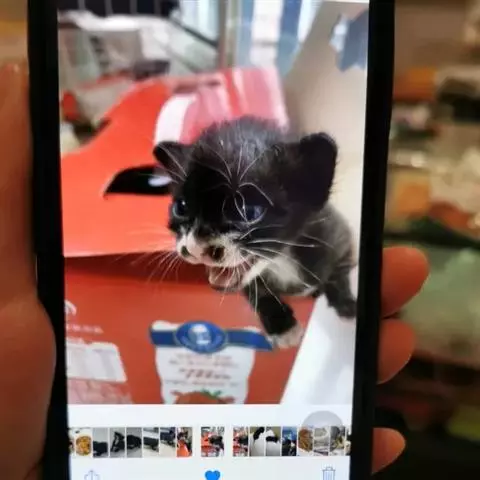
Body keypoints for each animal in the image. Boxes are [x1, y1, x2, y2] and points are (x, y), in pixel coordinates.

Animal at [153, 116, 357, 349]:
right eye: (182, 207)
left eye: (248, 211)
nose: (195, 248)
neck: (282, 261)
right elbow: (256, 290)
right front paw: (283, 327)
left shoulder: (340, 236)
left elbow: (340, 272)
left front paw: (347, 304)